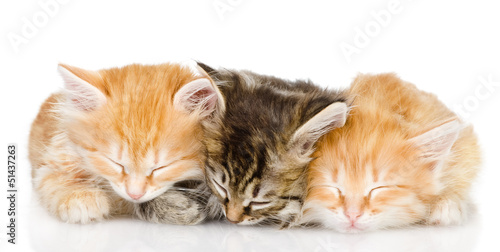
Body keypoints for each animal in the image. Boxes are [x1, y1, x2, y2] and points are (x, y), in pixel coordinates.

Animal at [27, 62, 223, 223]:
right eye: (115, 163)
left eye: (161, 167)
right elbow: (51, 179)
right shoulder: (54, 156)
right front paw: (80, 198)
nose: (135, 194)